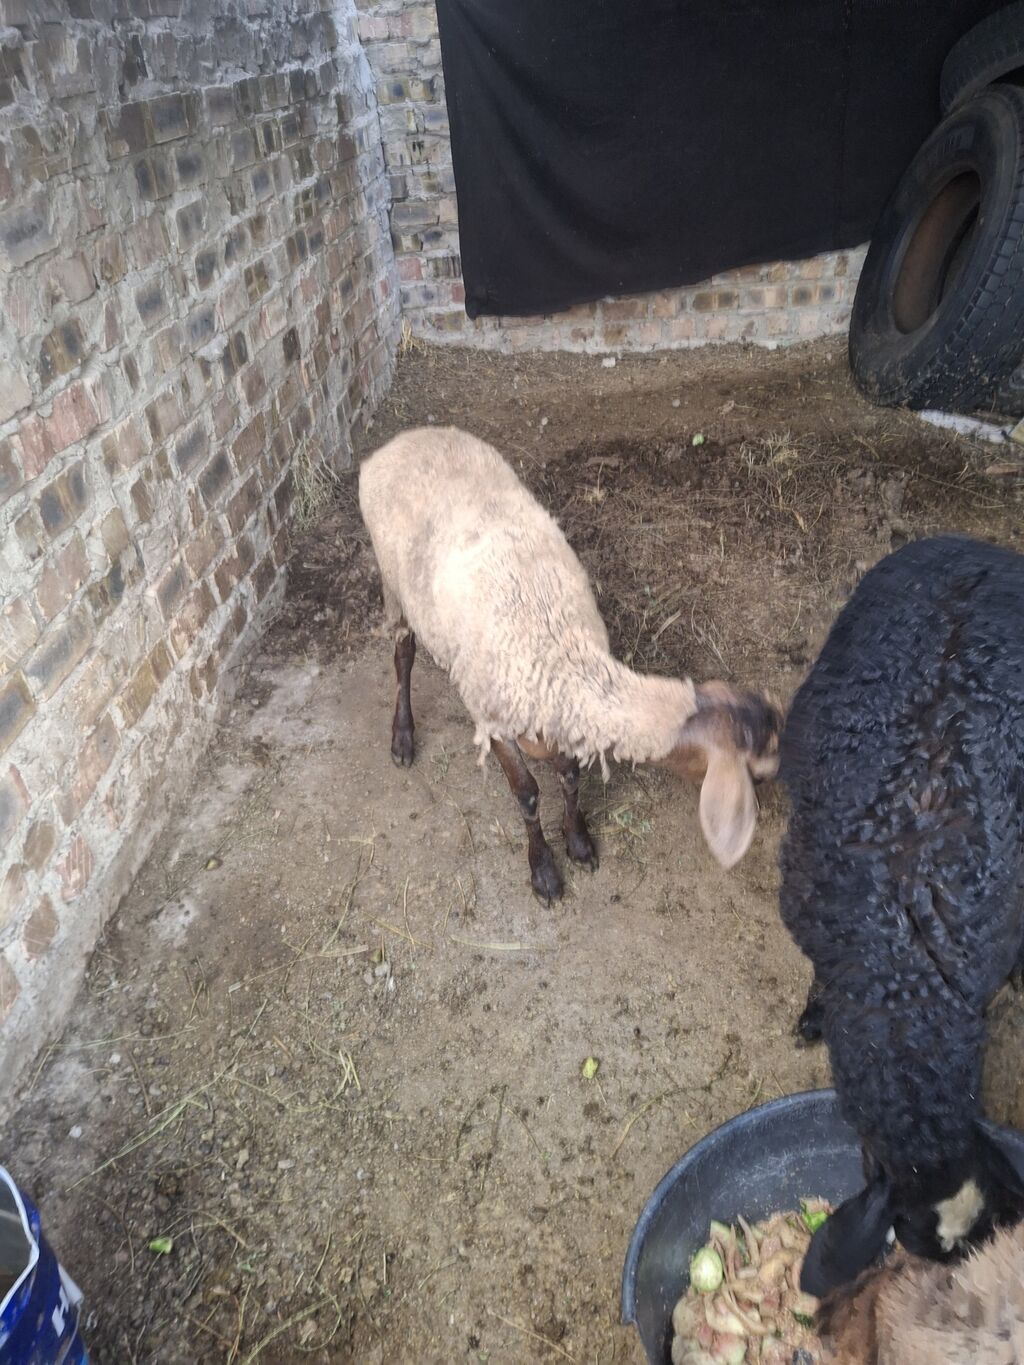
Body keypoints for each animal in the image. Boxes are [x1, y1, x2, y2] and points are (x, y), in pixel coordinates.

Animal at [358, 426, 781, 900]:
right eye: (759, 777)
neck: (564, 663)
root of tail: (401, 440)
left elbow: (571, 777)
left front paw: (578, 841)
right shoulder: (495, 721)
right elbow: (527, 793)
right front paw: (543, 870)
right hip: (391, 578)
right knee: (403, 654)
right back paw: (402, 737)